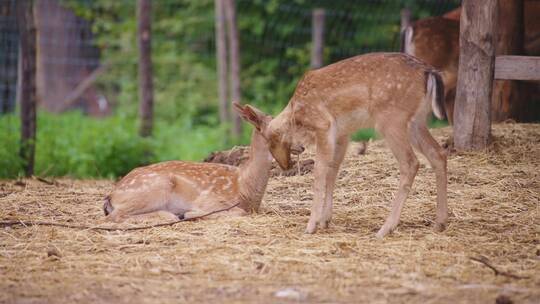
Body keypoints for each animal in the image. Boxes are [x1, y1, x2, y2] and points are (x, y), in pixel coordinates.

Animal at [103, 104, 276, 223]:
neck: (245, 189)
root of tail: (111, 195)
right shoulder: (209, 200)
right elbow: (239, 212)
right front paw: (189, 214)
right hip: (154, 188)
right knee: (115, 215)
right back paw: (174, 215)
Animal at [251, 52, 450, 238]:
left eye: (269, 142)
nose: (285, 165)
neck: (297, 115)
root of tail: (429, 72)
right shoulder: (342, 134)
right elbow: (332, 170)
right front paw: (325, 220)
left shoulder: (324, 125)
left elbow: (320, 172)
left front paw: (311, 225)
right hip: (417, 121)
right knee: (438, 153)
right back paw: (440, 223)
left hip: (391, 119)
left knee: (411, 162)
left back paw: (386, 228)